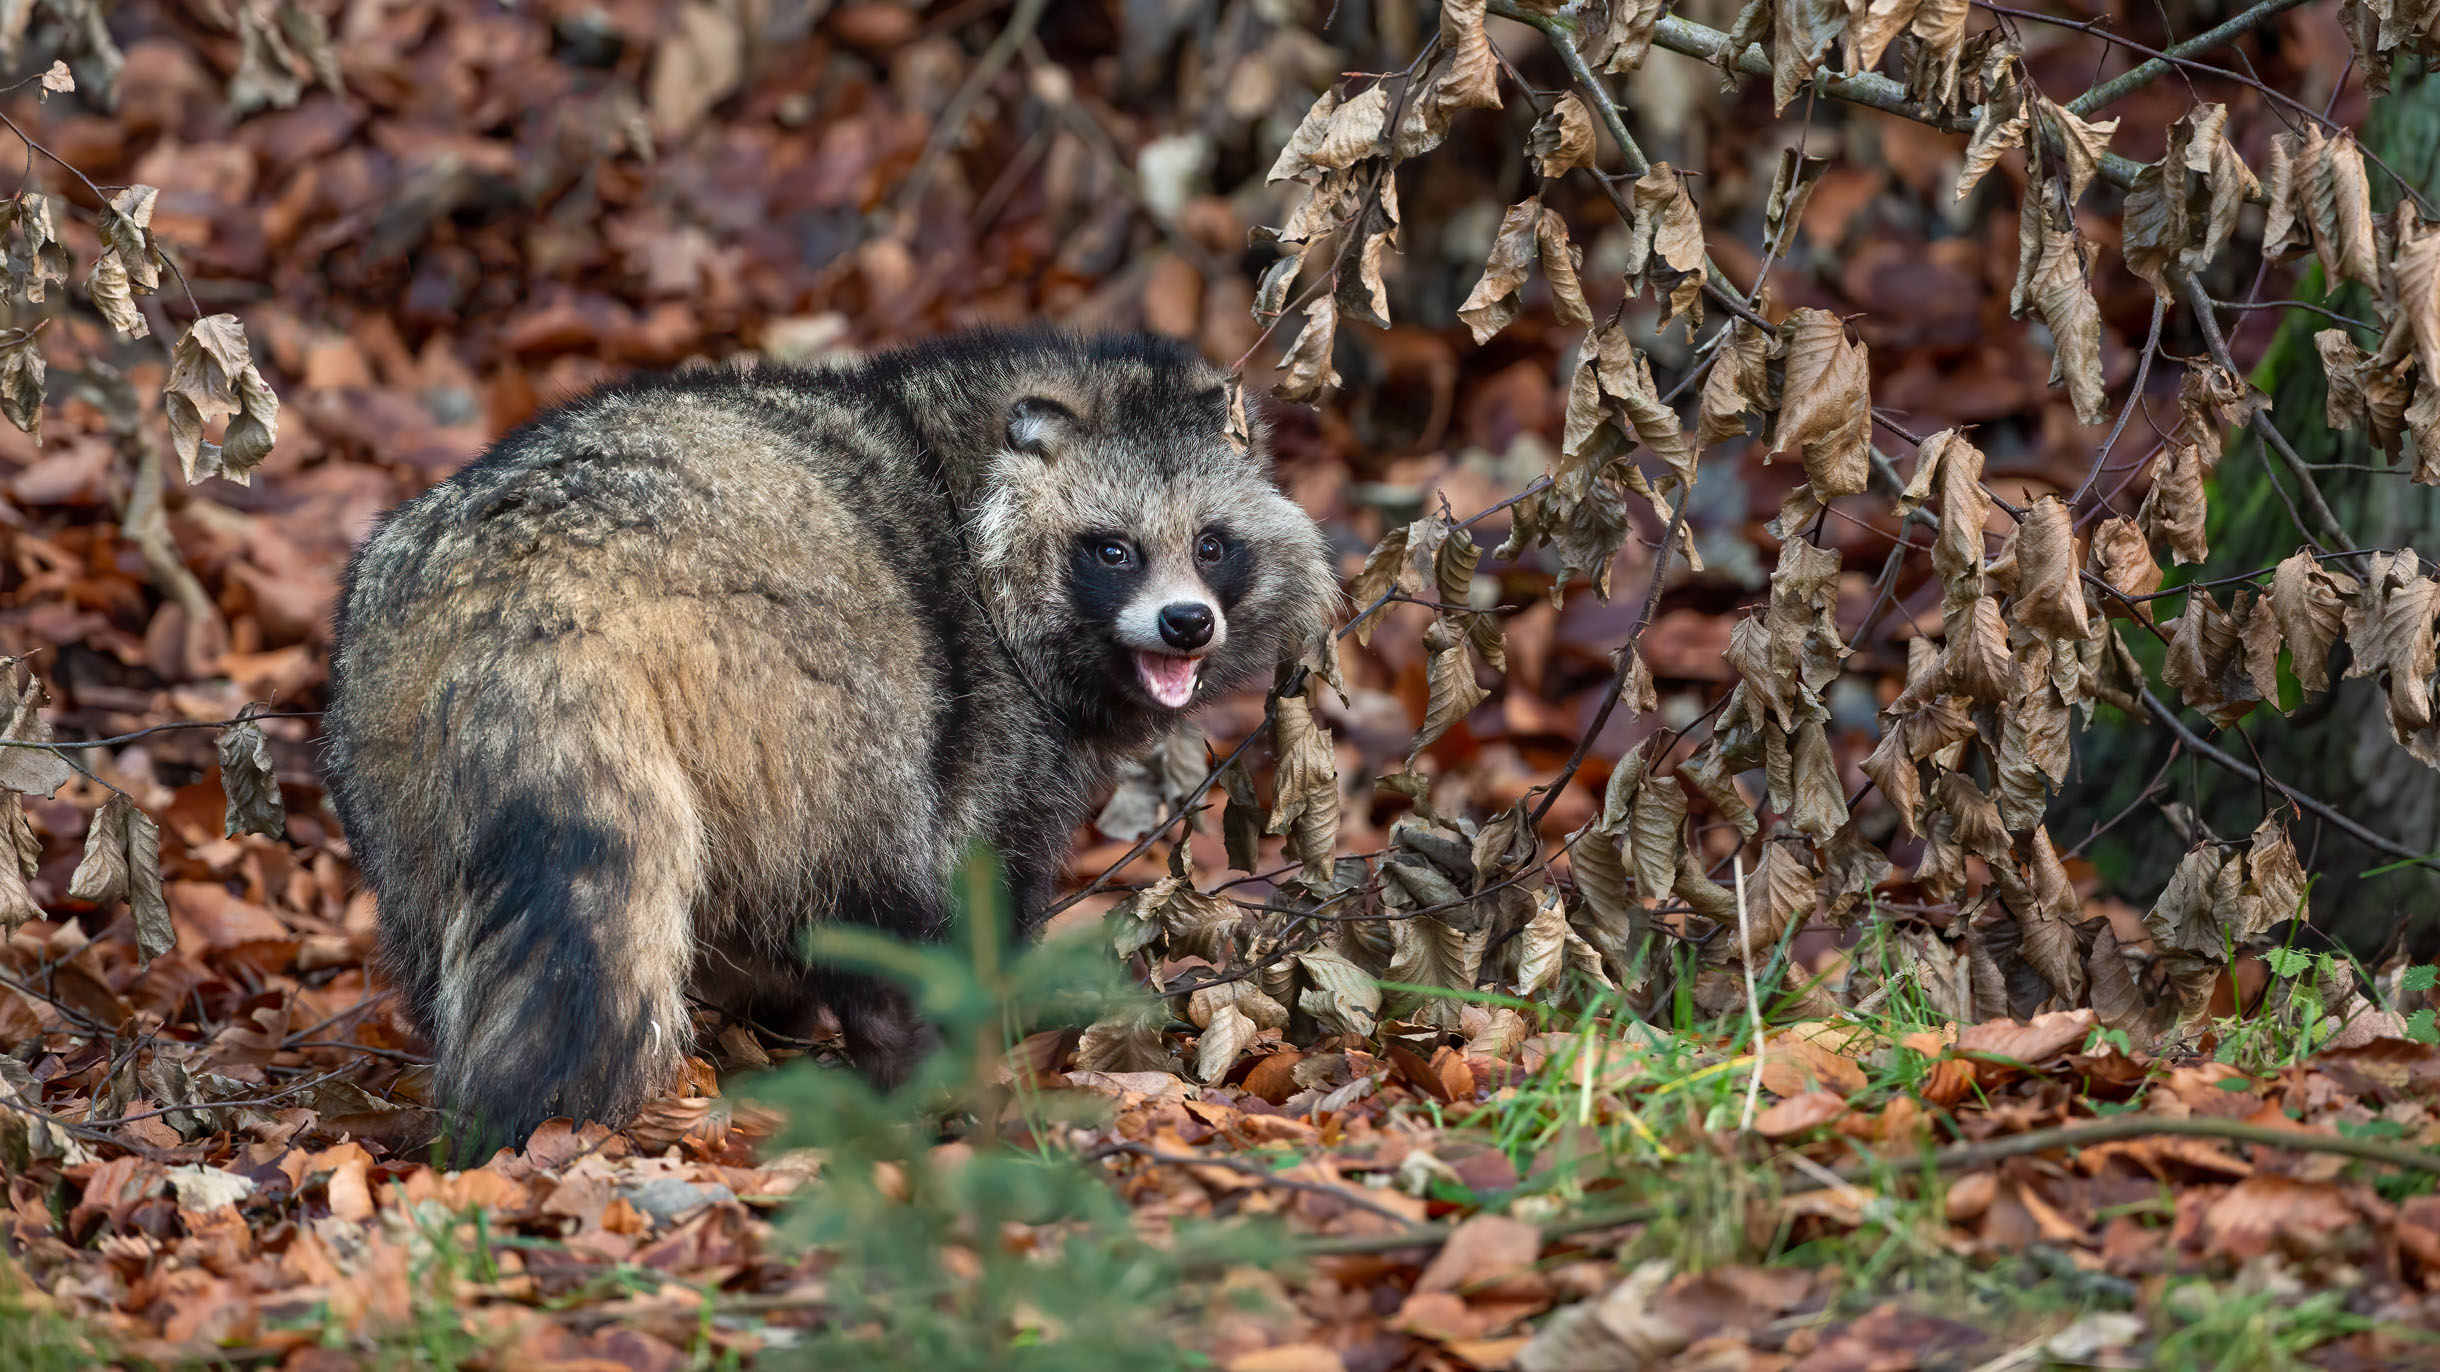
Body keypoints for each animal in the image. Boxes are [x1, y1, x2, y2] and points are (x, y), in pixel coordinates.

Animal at [324, 329, 1337, 1142]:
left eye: (1211, 544)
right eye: (1113, 549)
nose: (1187, 624)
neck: (966, 464)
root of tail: (543, 584)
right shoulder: (992, 715)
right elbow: (983, 878)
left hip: (388, 740)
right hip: (802, 686)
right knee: (864, 875)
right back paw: (909, 1061)